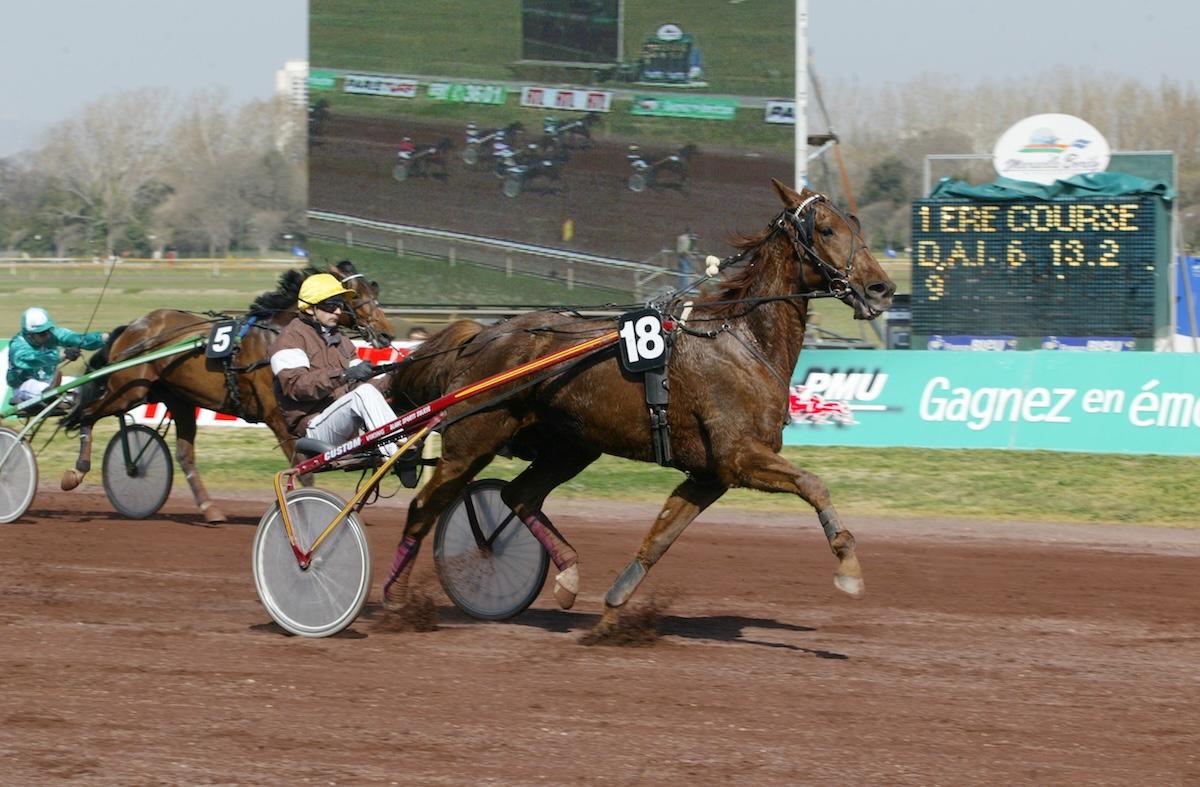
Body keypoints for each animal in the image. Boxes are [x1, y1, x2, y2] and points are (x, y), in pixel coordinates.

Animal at [61, 259, 396, 524]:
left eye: (374, 291)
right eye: (355, 296)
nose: (386, 333)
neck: (272, 338)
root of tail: (133, 327)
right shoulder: (278, 419)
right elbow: (305, 471)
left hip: (178, 399)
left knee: (184, 454)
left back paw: (209, 509)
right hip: (128, 390)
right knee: (87, 414)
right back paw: (78, 472)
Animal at [383, 179, 896, 637]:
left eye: (855, 224)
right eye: (826, 229)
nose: (882, 288)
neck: (742, 339)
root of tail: (481, 335)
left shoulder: (710, 474)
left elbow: (660, 537)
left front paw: (612, 612)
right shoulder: (740, 456)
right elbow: (813, 484)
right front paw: (848, 565)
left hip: (570, 446)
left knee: (517, 495)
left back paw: (566, 575)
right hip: (472, 441)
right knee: (425, 508)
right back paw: (396, 603)